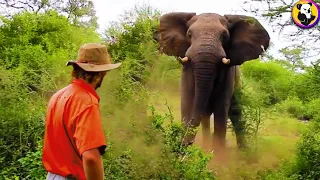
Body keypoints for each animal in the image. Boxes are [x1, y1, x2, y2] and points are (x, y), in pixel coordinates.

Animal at [152, 11, 270, 149]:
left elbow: (221, 110)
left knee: (236, 114)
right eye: (189, 34)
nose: (187, 144)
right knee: (206, 116)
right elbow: (187, 103)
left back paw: (243, 152)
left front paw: (218, 153)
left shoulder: (227, 74)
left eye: (224, 36)